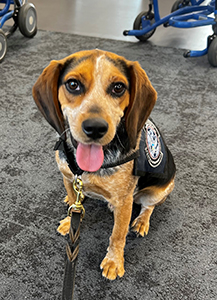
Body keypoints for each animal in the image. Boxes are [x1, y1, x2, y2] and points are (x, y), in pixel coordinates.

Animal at [32, 49, 175, 282]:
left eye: (118, 87)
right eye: (73, 84)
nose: (95, 128)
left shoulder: (124, 202)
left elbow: (117, 235)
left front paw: (114, 261)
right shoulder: (68, 177)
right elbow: (73, 199)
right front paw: (70, 219)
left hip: (159, 190)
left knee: (149, 206)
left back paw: (142, 221)